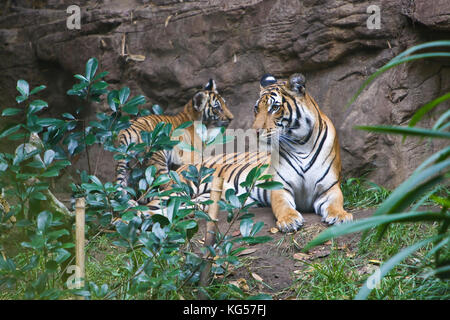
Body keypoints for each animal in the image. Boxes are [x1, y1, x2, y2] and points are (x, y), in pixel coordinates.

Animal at [142, 72, 350, 232]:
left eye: (275, 107)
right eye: (256, 108)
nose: (255, 131)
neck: (301, 143)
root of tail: (181, 167)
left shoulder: (330, 187)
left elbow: (336, 202)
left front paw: (341, 216)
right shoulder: (280, 187)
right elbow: (282, 206)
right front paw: (289, 220)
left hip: (197, 200)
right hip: (181, 188)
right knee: (144, 207)